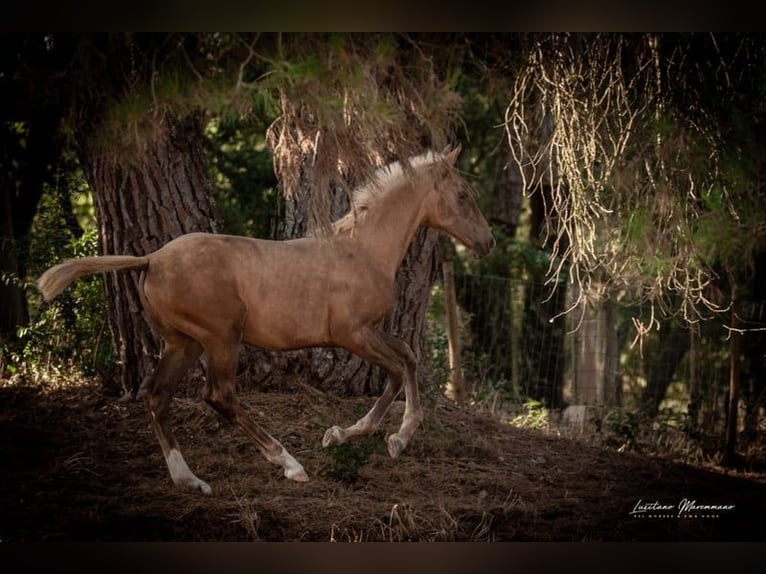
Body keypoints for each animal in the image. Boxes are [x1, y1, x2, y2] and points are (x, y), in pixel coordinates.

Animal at [39, 146, 496, 498]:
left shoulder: (370, 331)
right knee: (219, 395)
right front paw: (379, 437)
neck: (363, 250)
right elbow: (400, 369)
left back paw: (191, 481)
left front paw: (365, 436)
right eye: (462, 194)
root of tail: (151, 259)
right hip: (221, 337)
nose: (488, 242)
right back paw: (288, 463)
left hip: (182, 342)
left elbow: (409, 357)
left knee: (156, 396)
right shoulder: (352, 334)